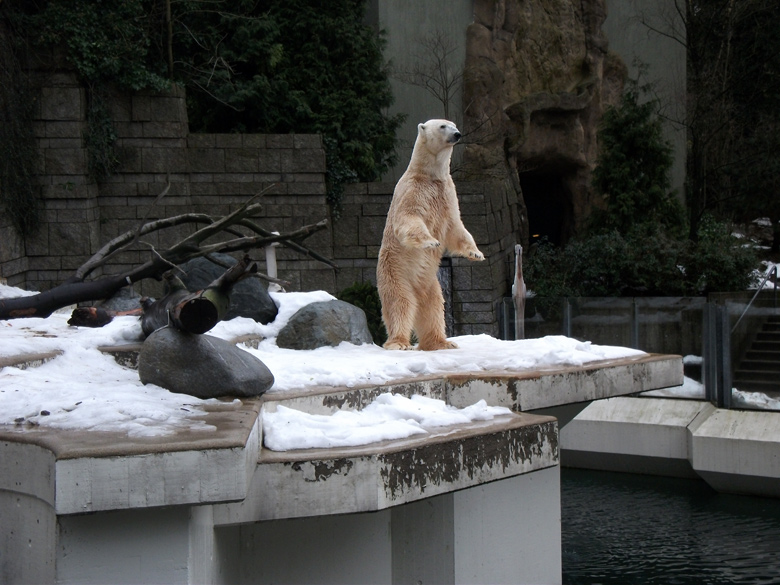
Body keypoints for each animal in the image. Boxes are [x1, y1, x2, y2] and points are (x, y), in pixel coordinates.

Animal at [376, 116, 484, 350]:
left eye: (453, 125)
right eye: (443, 126)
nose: (457, 134)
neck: (430, 176)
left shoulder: (448, 194)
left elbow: (456, 228)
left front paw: (476, 254)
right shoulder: (413, 191)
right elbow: (408, 218)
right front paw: (431, 242)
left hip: (430, 283)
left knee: (433, 308)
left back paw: (440, 342)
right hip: (396, 273)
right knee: (400, 303)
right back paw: (399, 342)